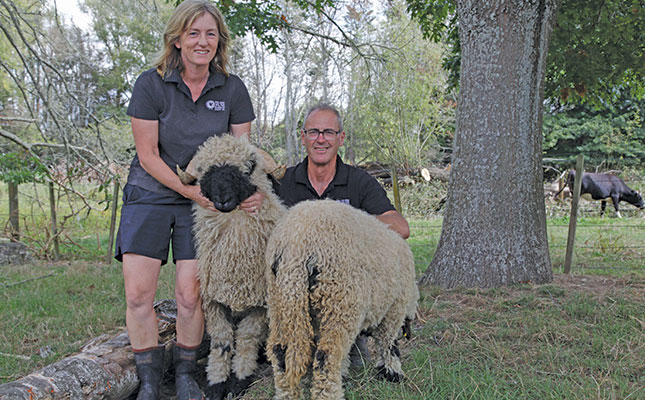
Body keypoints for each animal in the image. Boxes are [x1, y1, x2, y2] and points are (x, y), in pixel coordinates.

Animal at [177, 135, 286, 400]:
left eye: (249, 167)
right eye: (204, 170)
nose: (222, 200)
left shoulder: (260, 305)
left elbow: (246, 339)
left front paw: (239, 379)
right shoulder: (213, 301)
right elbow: (222, 341)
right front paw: (216, 382)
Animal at [264, 200, 420, 400]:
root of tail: (296, 244)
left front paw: (345, 372)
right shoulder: (394, 308)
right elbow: (388, 342)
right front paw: (392, 372)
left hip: (281, 303)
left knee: (279, 353)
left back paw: (288, 394)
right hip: (339, 301)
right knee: (327, 356)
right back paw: (330, 393)